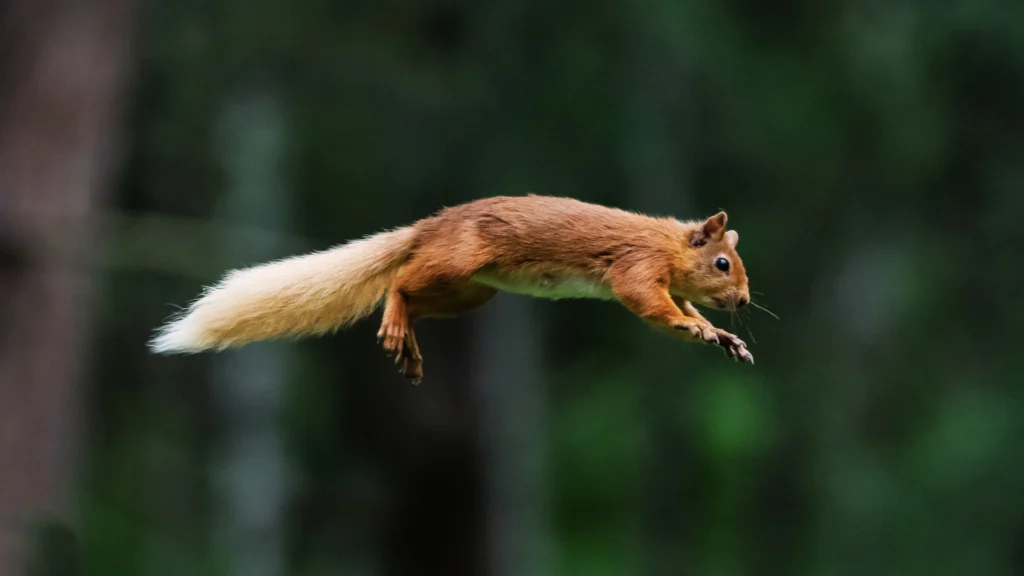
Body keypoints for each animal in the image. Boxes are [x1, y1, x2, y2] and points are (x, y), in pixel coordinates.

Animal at [150, 194, 755, 383]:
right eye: (723, 263)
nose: (746, 301)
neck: (669, 244)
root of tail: (428, 228)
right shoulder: (636, 265)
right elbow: (651, 305)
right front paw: (696, 325)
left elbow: (675, 309)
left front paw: (720, 334)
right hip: (457, 262)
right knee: (398, 282)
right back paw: (394, 319)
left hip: (470, 292)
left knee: (418, 301)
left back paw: (407, 342)